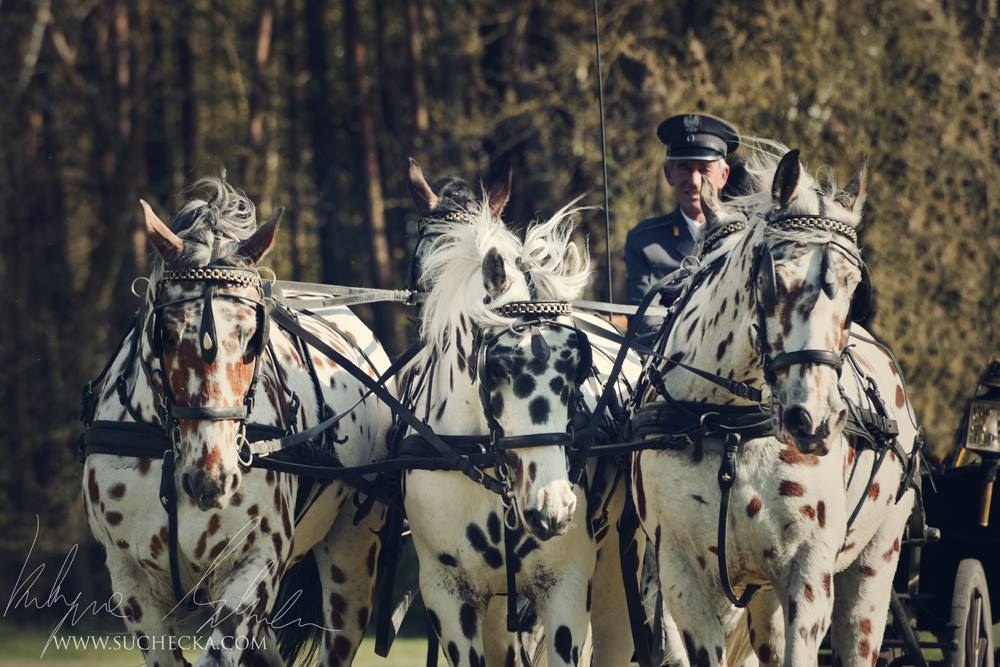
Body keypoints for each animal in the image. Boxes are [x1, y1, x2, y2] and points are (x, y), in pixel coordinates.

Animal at [82, 179, 394, 667]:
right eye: (166, 333)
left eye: (252, 337)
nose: (213, 477)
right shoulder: (133, 583)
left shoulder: (252, 565)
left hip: (353, 554)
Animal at [632, 151, 920, 667]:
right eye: (772, 277)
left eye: (854, 289)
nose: (815, 419)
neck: (729, 424)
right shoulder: (681, 575)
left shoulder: (808, 574)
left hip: (875, 565)